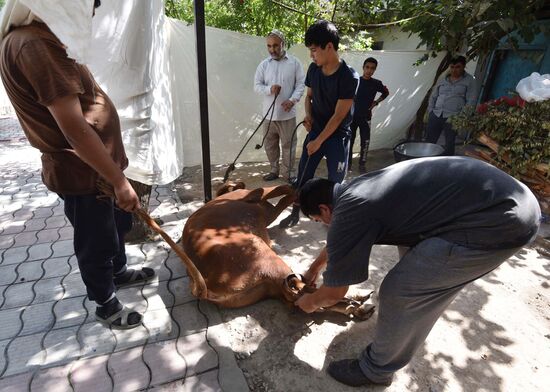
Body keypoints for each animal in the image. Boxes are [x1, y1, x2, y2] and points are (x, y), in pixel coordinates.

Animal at [181, 182, 376, 320]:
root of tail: (205, 283)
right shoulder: (258, 200)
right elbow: (283, 190)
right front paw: (296, 189)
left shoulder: (267, 213)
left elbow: (281, 200)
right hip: (264, 255)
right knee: (299, 290)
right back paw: (357, 303)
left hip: (266, 287)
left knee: (296, 297)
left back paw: (357, 306)